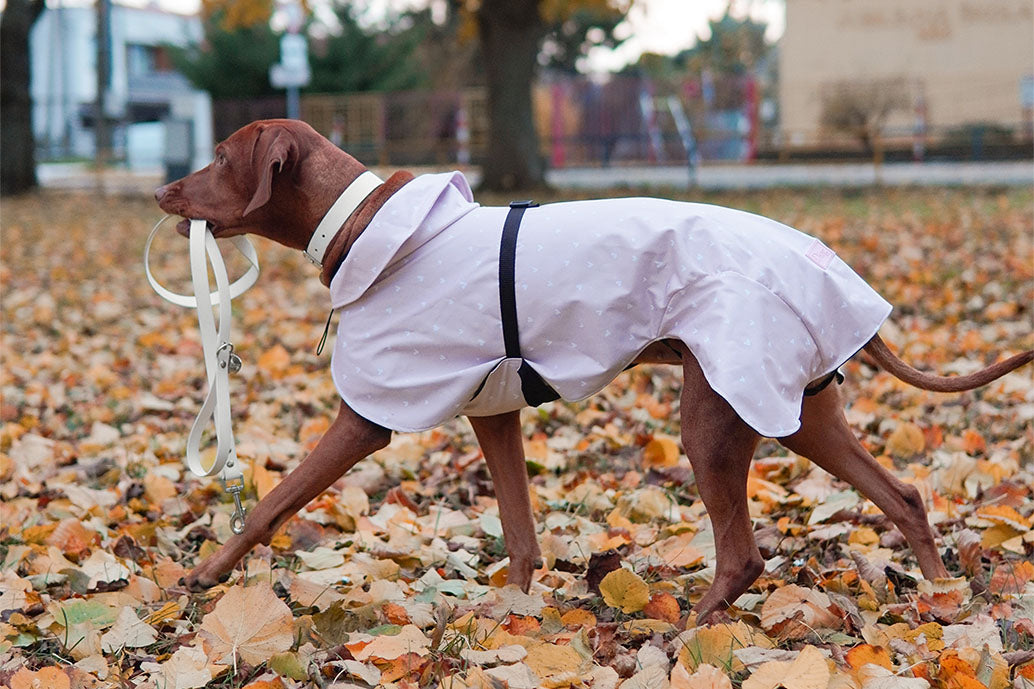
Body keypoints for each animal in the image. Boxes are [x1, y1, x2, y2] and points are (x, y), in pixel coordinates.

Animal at [155, 120, 1034, 620]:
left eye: (220, 156)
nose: (162, 190)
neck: (370, 225)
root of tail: (828, 270)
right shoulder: (494, 410)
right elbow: (519, 533)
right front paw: (512, 613)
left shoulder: (367, 415)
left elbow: (272, 501)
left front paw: (205, 572)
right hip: (799, 409)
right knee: (905, 494)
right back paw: (944, 599)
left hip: (715, 414)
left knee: (743, 554)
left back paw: (685, 633)